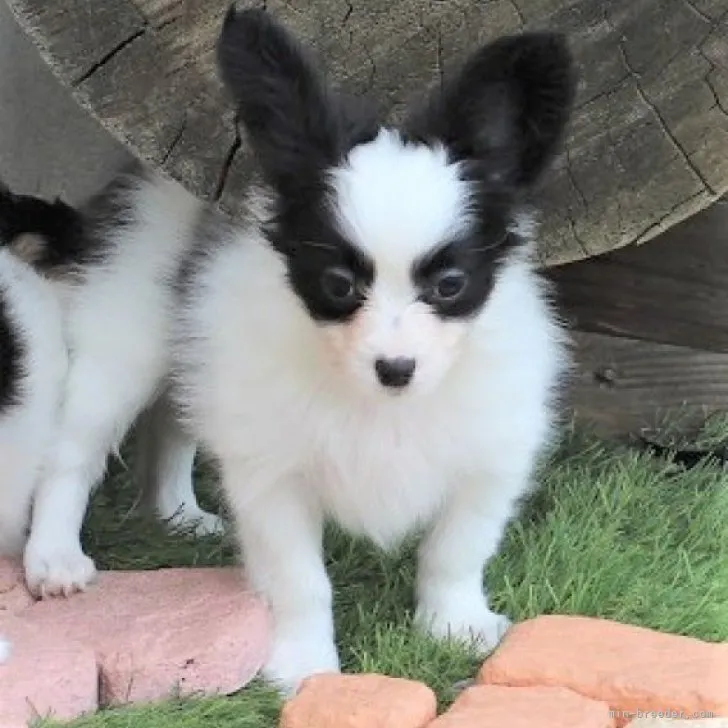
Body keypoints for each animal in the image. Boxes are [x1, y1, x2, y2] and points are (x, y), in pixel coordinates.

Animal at [164, 8, 576, 692]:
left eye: (449, 285)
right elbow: (299, 580)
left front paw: (453, 625)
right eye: (338, 285)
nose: (395, 368)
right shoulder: (270, 475)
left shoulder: (489, 459)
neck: (382, 409)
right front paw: (304, 663)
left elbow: (455, 550)